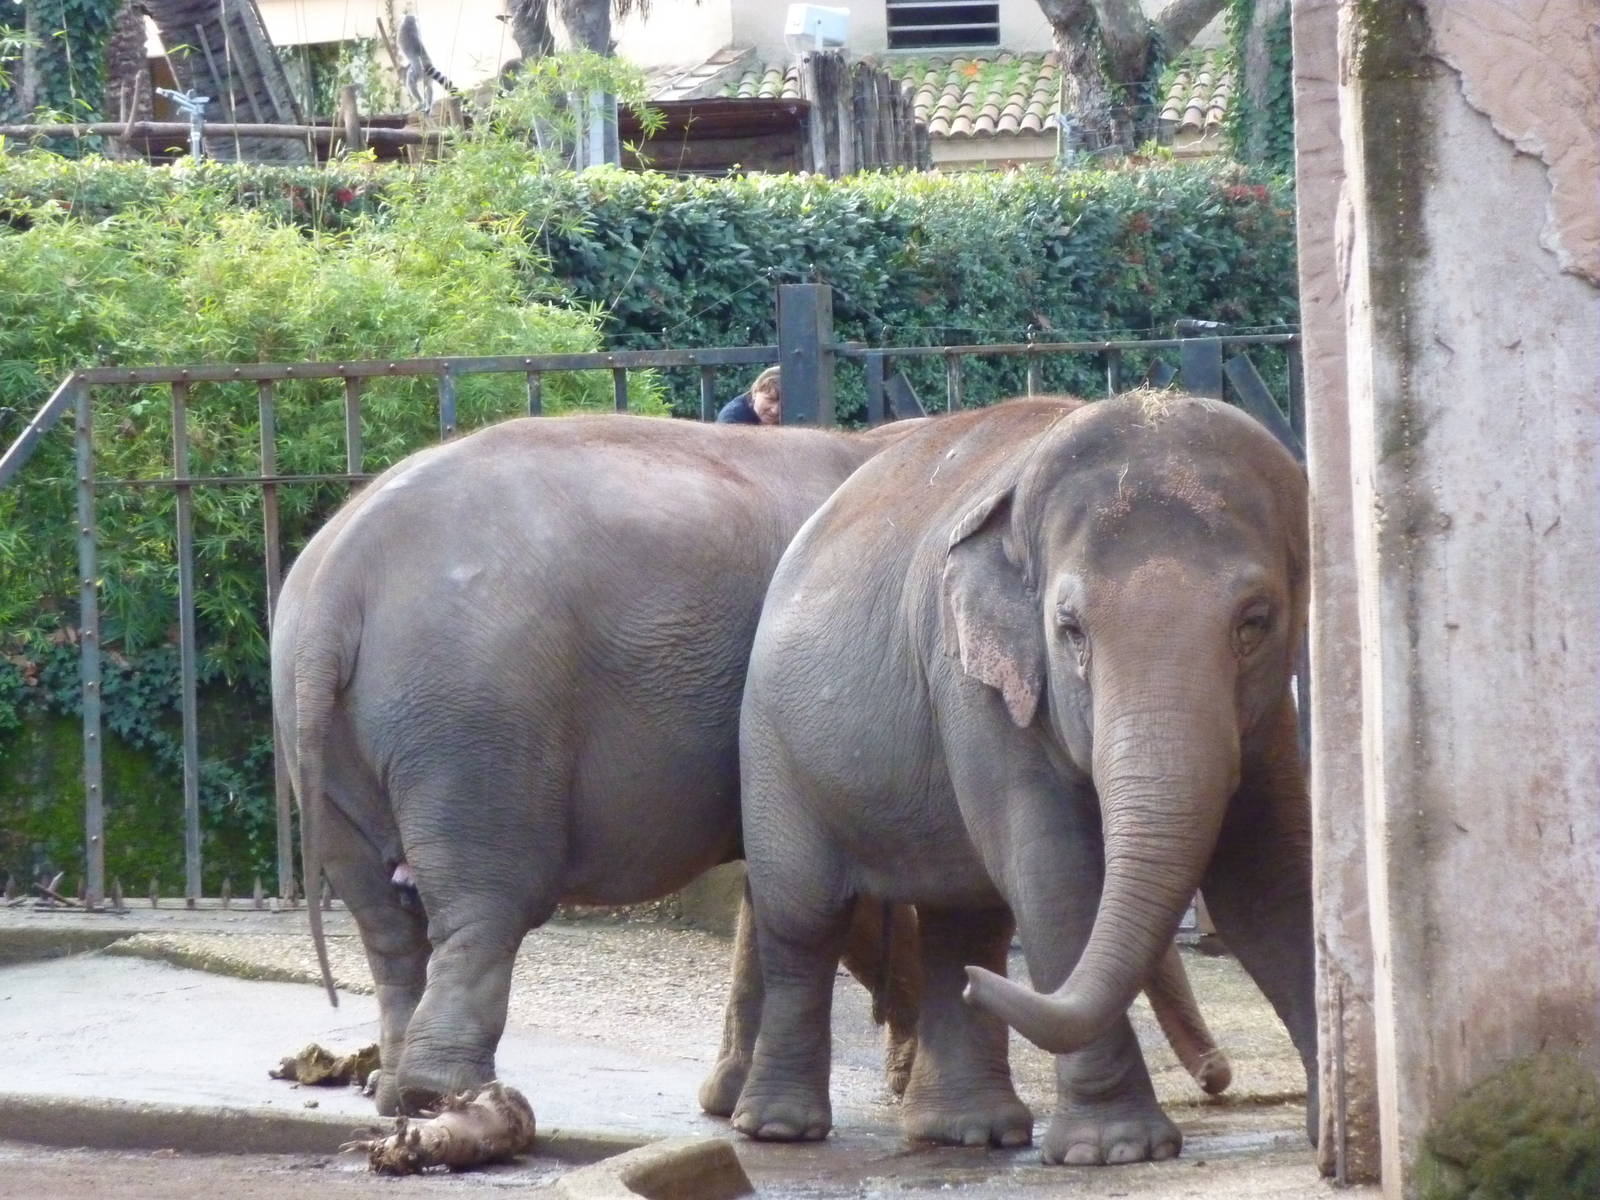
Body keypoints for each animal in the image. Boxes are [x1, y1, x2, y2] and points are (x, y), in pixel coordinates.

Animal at [270, 410, 1236, 1122]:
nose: (1220, 1081)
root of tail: (331, 587)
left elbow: (769, 900)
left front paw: (728, 1101)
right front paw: (892, 1081)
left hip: (332, 742)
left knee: (387, 922)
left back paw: (396, 1092)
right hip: (474, 726)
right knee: (482, 902)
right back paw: (450, 1098)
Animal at [733, 391, 1314, 1165]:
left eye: (1255, 621)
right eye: (1070, 629)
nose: (1220, 1080)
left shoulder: (1270, 712)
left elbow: (1268, 873)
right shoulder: (973, 683)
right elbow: (1054, 873)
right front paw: (1115, 1150)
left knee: (963, 923)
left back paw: (968, 1129)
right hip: (772, 746)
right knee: (803, 917)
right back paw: (778, 1128)